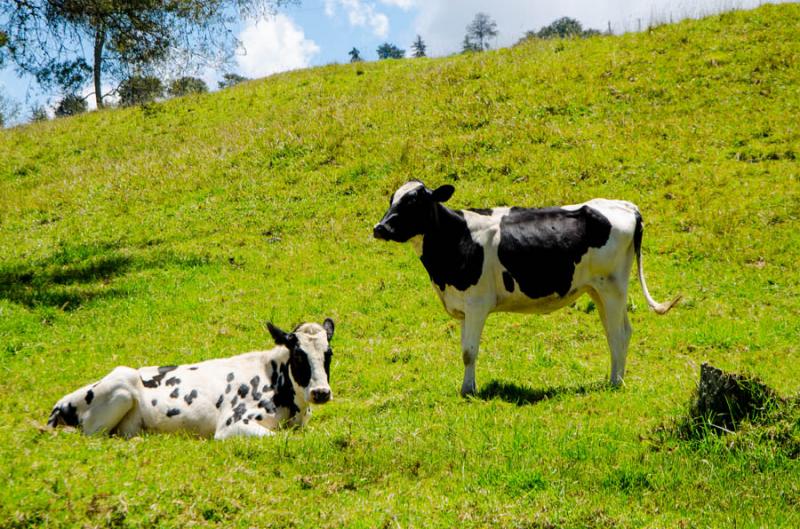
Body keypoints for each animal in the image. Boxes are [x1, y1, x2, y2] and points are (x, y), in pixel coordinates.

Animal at [47, 320, 334, 440]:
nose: (321, 392)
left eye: (328, 353)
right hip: (122, 384)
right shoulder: (232, 425)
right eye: (298, 355)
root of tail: (60, 403)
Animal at [372, 179, 680, 394]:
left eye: (414, 201)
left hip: (613, 287)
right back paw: (614, 377)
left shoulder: (477, 304)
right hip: (598, 290)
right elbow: (463, 349)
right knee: (614, 333)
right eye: (392, 199)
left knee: (619, 333)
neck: (459, 237)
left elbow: (469, 351)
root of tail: (627, 206)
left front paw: (468, 390)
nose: (380, 228)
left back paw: (616, 383)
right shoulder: (462, 306)